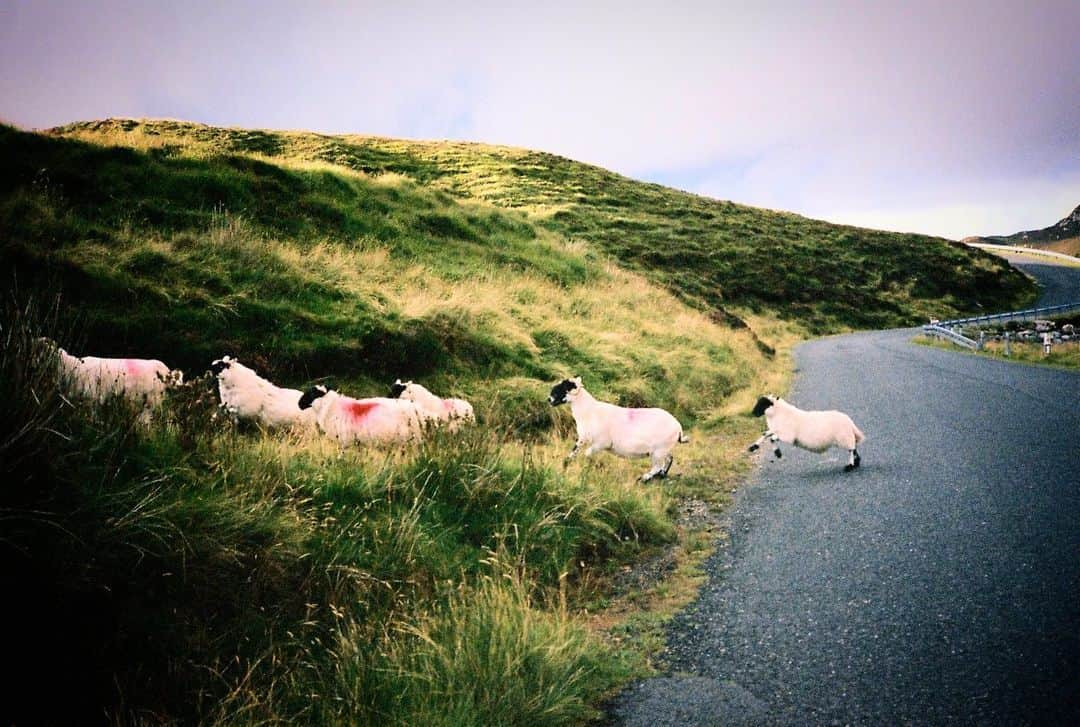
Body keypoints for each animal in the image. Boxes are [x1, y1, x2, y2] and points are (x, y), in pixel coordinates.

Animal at [548, 373, 691, 481]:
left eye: (562, 388)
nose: (549, 400)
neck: (588, 411)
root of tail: (678, 428)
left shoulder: (601, 443)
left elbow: (587, 454)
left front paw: (586, 467)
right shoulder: (582, 438)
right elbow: (574, 452)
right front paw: (566, 464)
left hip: (659, 450)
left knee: (658, 465)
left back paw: (644, 478)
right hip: (663, 449)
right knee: (669, 459)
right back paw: (661, 475)